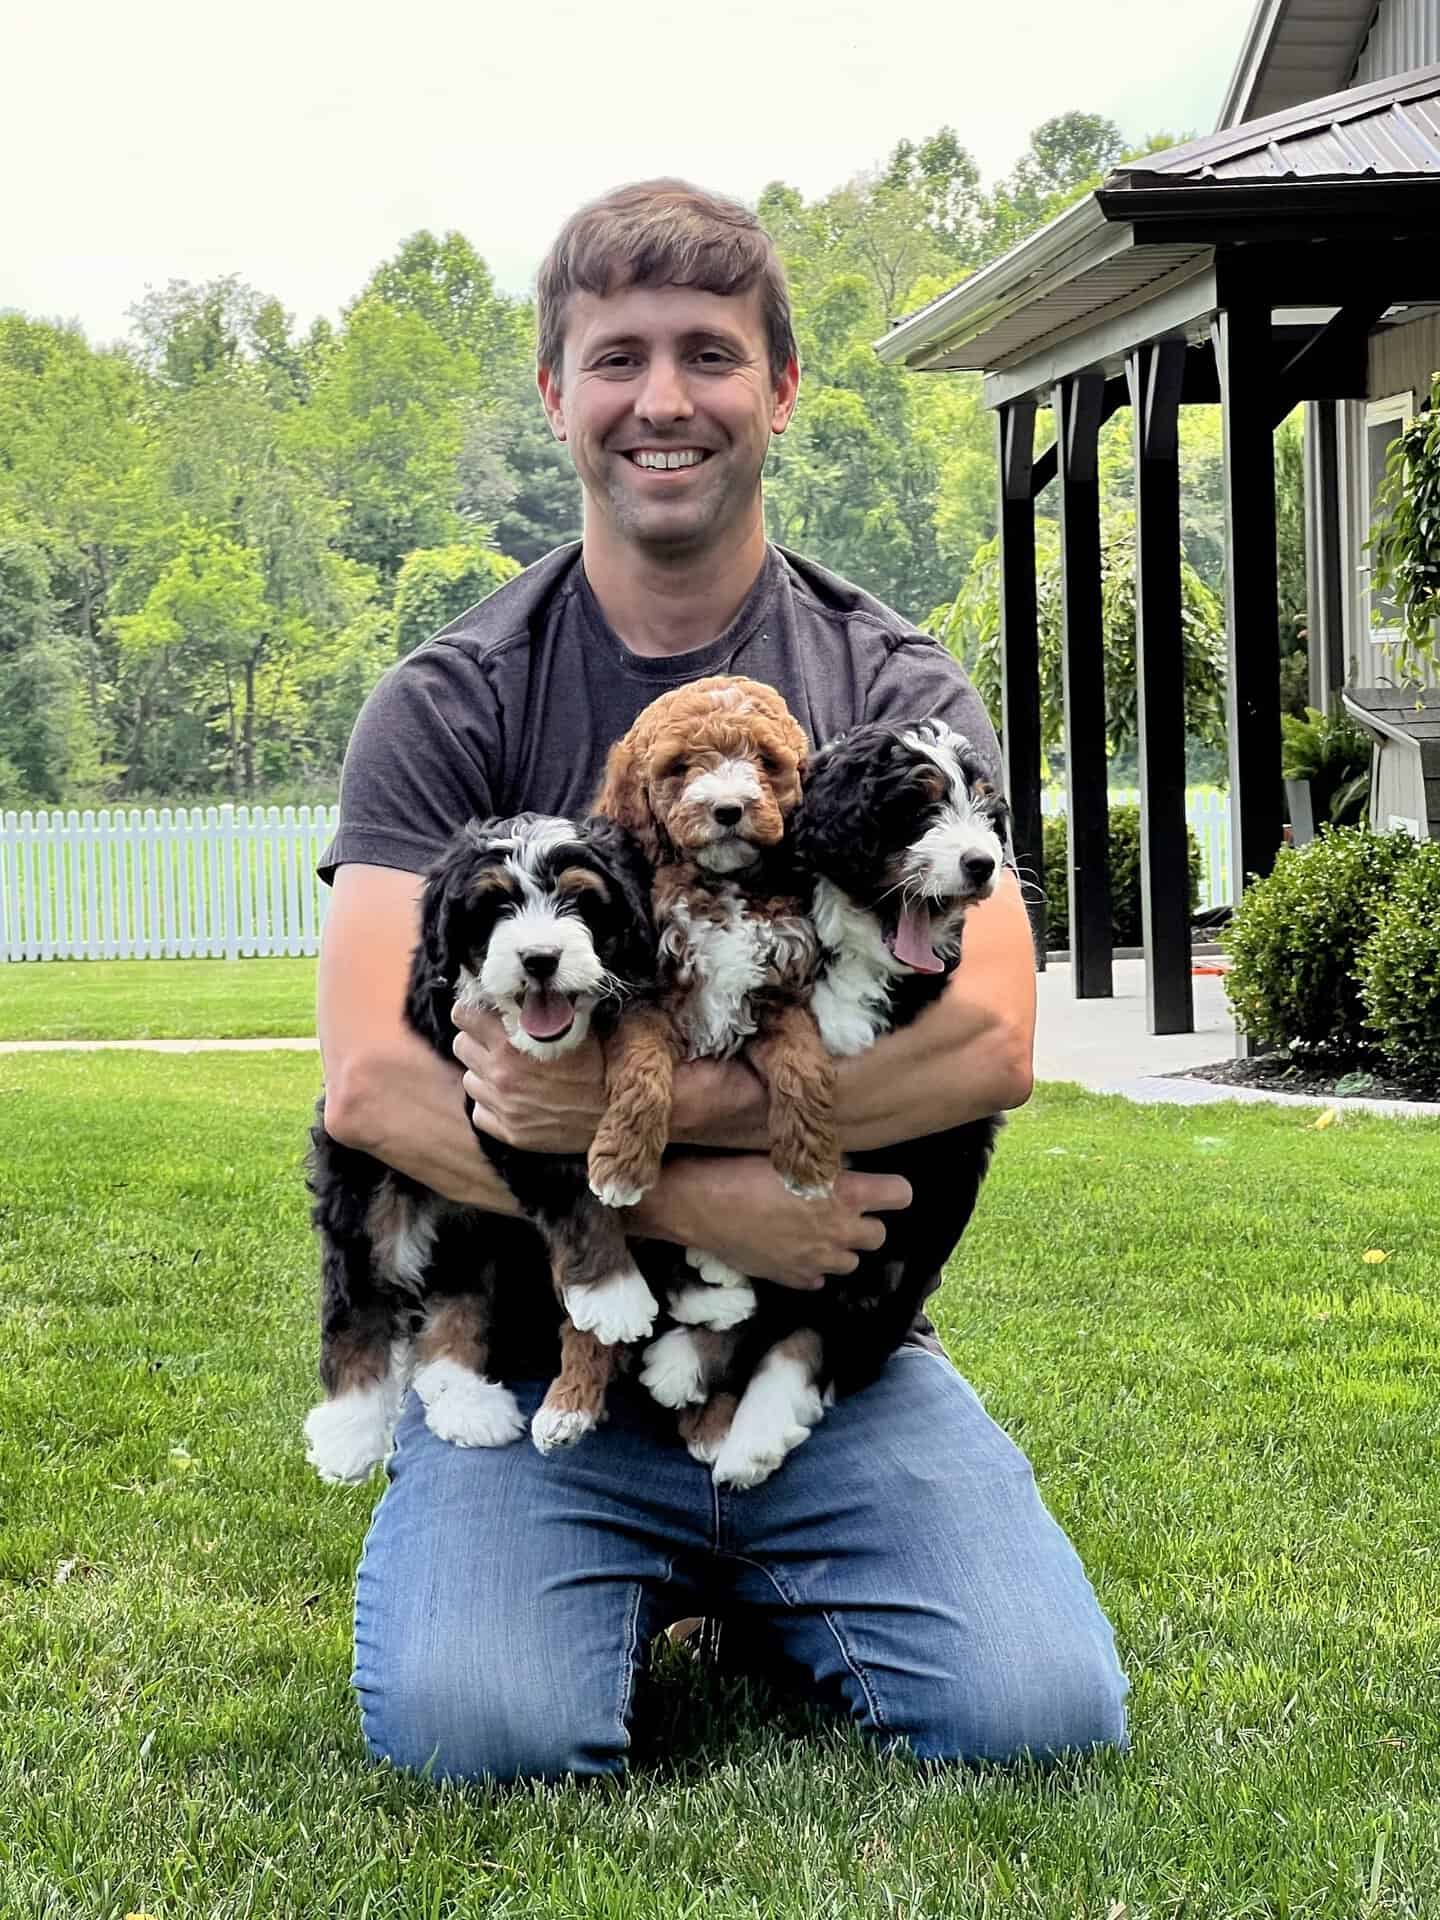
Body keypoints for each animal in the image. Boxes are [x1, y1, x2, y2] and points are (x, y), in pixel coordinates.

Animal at [311, 810, 664, 1482]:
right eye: (495, 907)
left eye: (581, 900)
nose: (540, 959)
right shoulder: (495, 1102)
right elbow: (570, 1192)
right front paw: (615, 1293)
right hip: (367, 1186)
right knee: (359, 1296)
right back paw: (350, 1430)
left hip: (471, 1222)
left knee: (459, 1300)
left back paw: (466, 1404)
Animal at [648, 721, 1006, 1482]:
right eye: (918, 806)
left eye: (986, 811)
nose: (983, 864)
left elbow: (875, 993)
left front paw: (840, 1013)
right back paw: (687, 1352)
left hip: (885, 1271)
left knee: (805, 1341)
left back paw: (747, 1435)